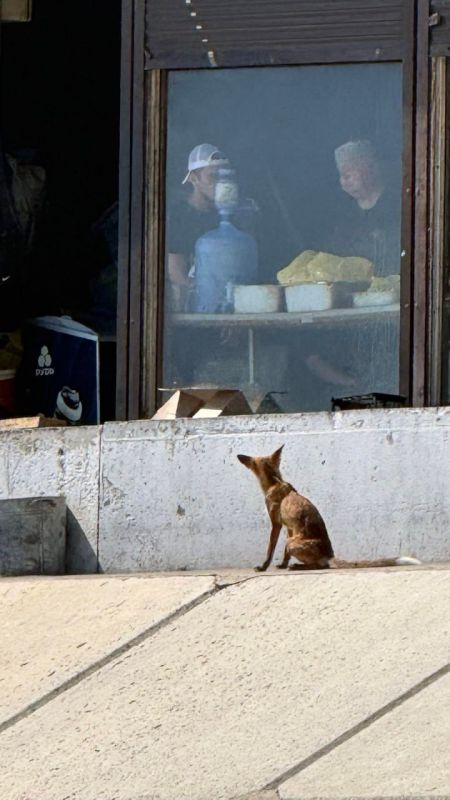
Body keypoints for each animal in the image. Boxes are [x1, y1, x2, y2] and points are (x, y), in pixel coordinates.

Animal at [237, 445, 421, 572]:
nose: (240, 456)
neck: (275, 482)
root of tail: (329, 555)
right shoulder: (289, 528)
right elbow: (284, 555)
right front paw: (282, 564)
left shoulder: (276, 524)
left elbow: (270, 549)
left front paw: (263, 567)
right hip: (292, 539)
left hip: (292, 542)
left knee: (320, 566)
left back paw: (299, 567)